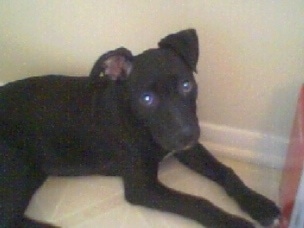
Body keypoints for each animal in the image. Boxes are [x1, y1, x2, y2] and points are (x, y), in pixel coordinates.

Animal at [0, 29, 280, 227]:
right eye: (147, 98)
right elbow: (197, 202)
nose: (187, 134)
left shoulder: (188, 149)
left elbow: (226, 171)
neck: (142, 125)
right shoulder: (142, 188)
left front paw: (259, 204)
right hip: (15, 168)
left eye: (187, 85)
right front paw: (233, 223)